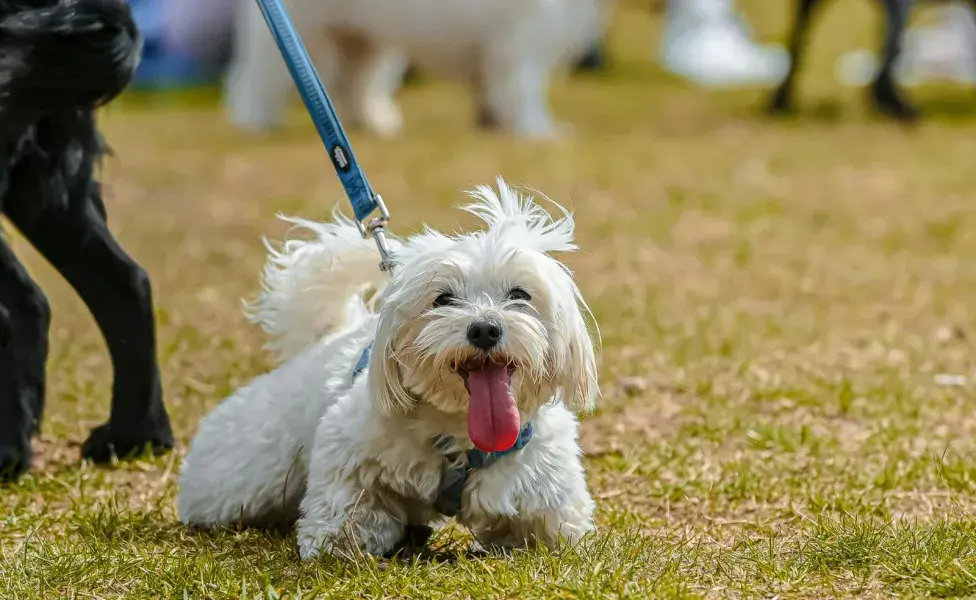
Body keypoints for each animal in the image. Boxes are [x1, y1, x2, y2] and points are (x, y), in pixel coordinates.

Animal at [178, 178, 600, 556]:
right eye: (442, 299)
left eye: (519, 294)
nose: (484, 328)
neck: (459, 430)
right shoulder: (350, 449)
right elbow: (349, 501)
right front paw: (340, 542)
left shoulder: (539, 477)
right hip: (248, 471)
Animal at [226, 0, 608, 137]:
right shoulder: (522, 42)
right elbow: (525, 90)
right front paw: (540, 130)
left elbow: (493, 92)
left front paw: (494, 123)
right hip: (298, 37)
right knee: (252, 79)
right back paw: (256, 122)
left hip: (360, 42)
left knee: (354, 87)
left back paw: (373, 124)